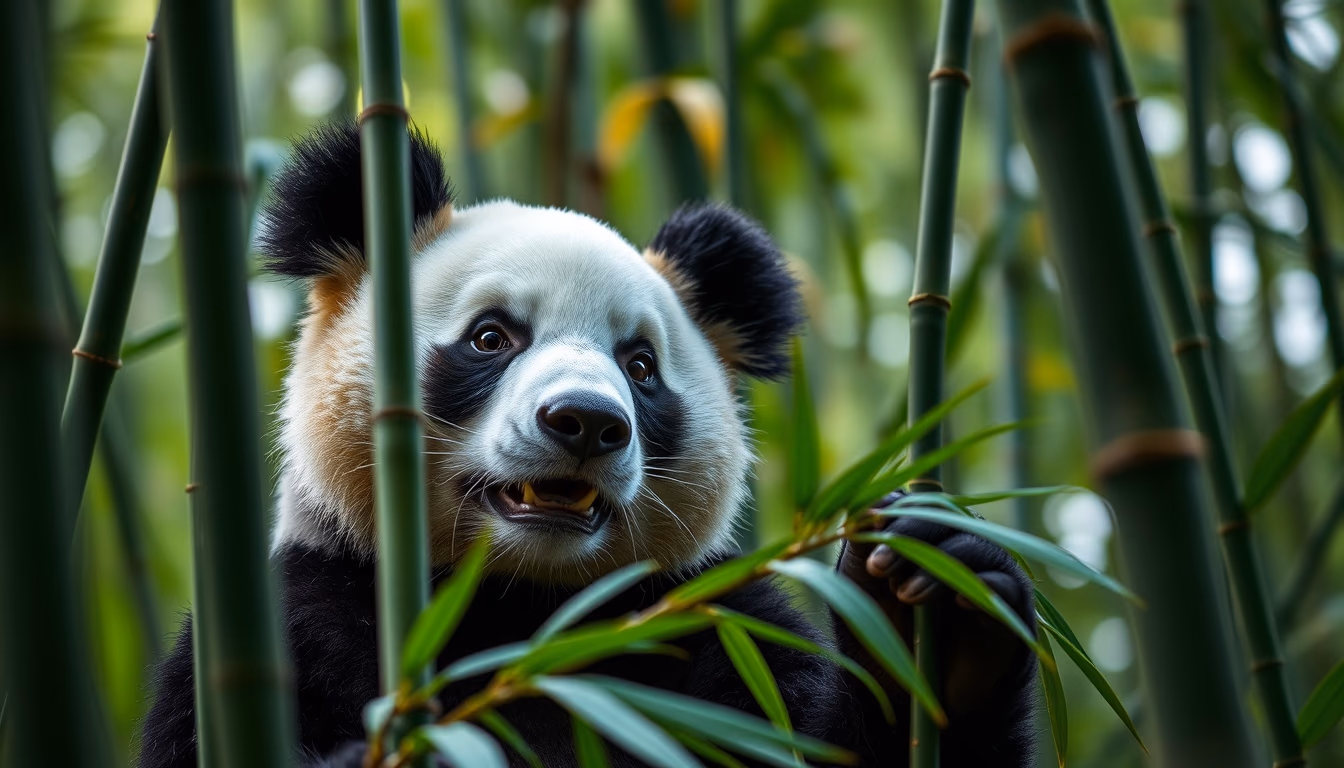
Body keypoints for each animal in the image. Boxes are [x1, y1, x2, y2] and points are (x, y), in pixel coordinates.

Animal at [138, 122, 1037, 768]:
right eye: (491, 336)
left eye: (639, 366)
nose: (585, 421)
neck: (526, 606)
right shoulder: (300, 613)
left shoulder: (711, 628)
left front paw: (944, 614)